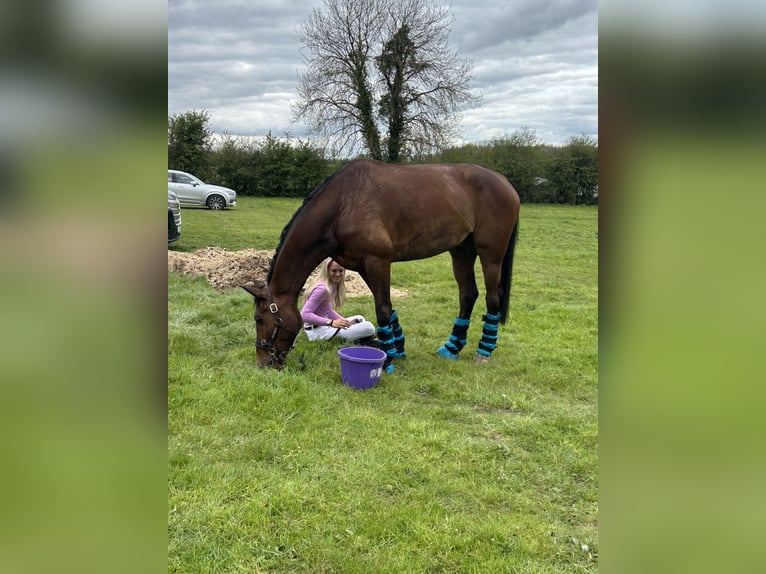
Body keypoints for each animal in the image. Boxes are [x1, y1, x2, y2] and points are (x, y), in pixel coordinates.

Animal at [241, 159, 520, 371]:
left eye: (259, 319)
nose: (264, 363)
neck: (343, 205)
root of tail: (506, 183)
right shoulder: (364, 266)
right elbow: (387, 306)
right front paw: (396, 350)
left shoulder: (378, 262)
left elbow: (383, 309)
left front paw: (387, 362)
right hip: (461, 251)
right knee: (468, 294)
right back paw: (452, 347)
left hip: (491, 254)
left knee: (493, 297)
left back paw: (484, 351)